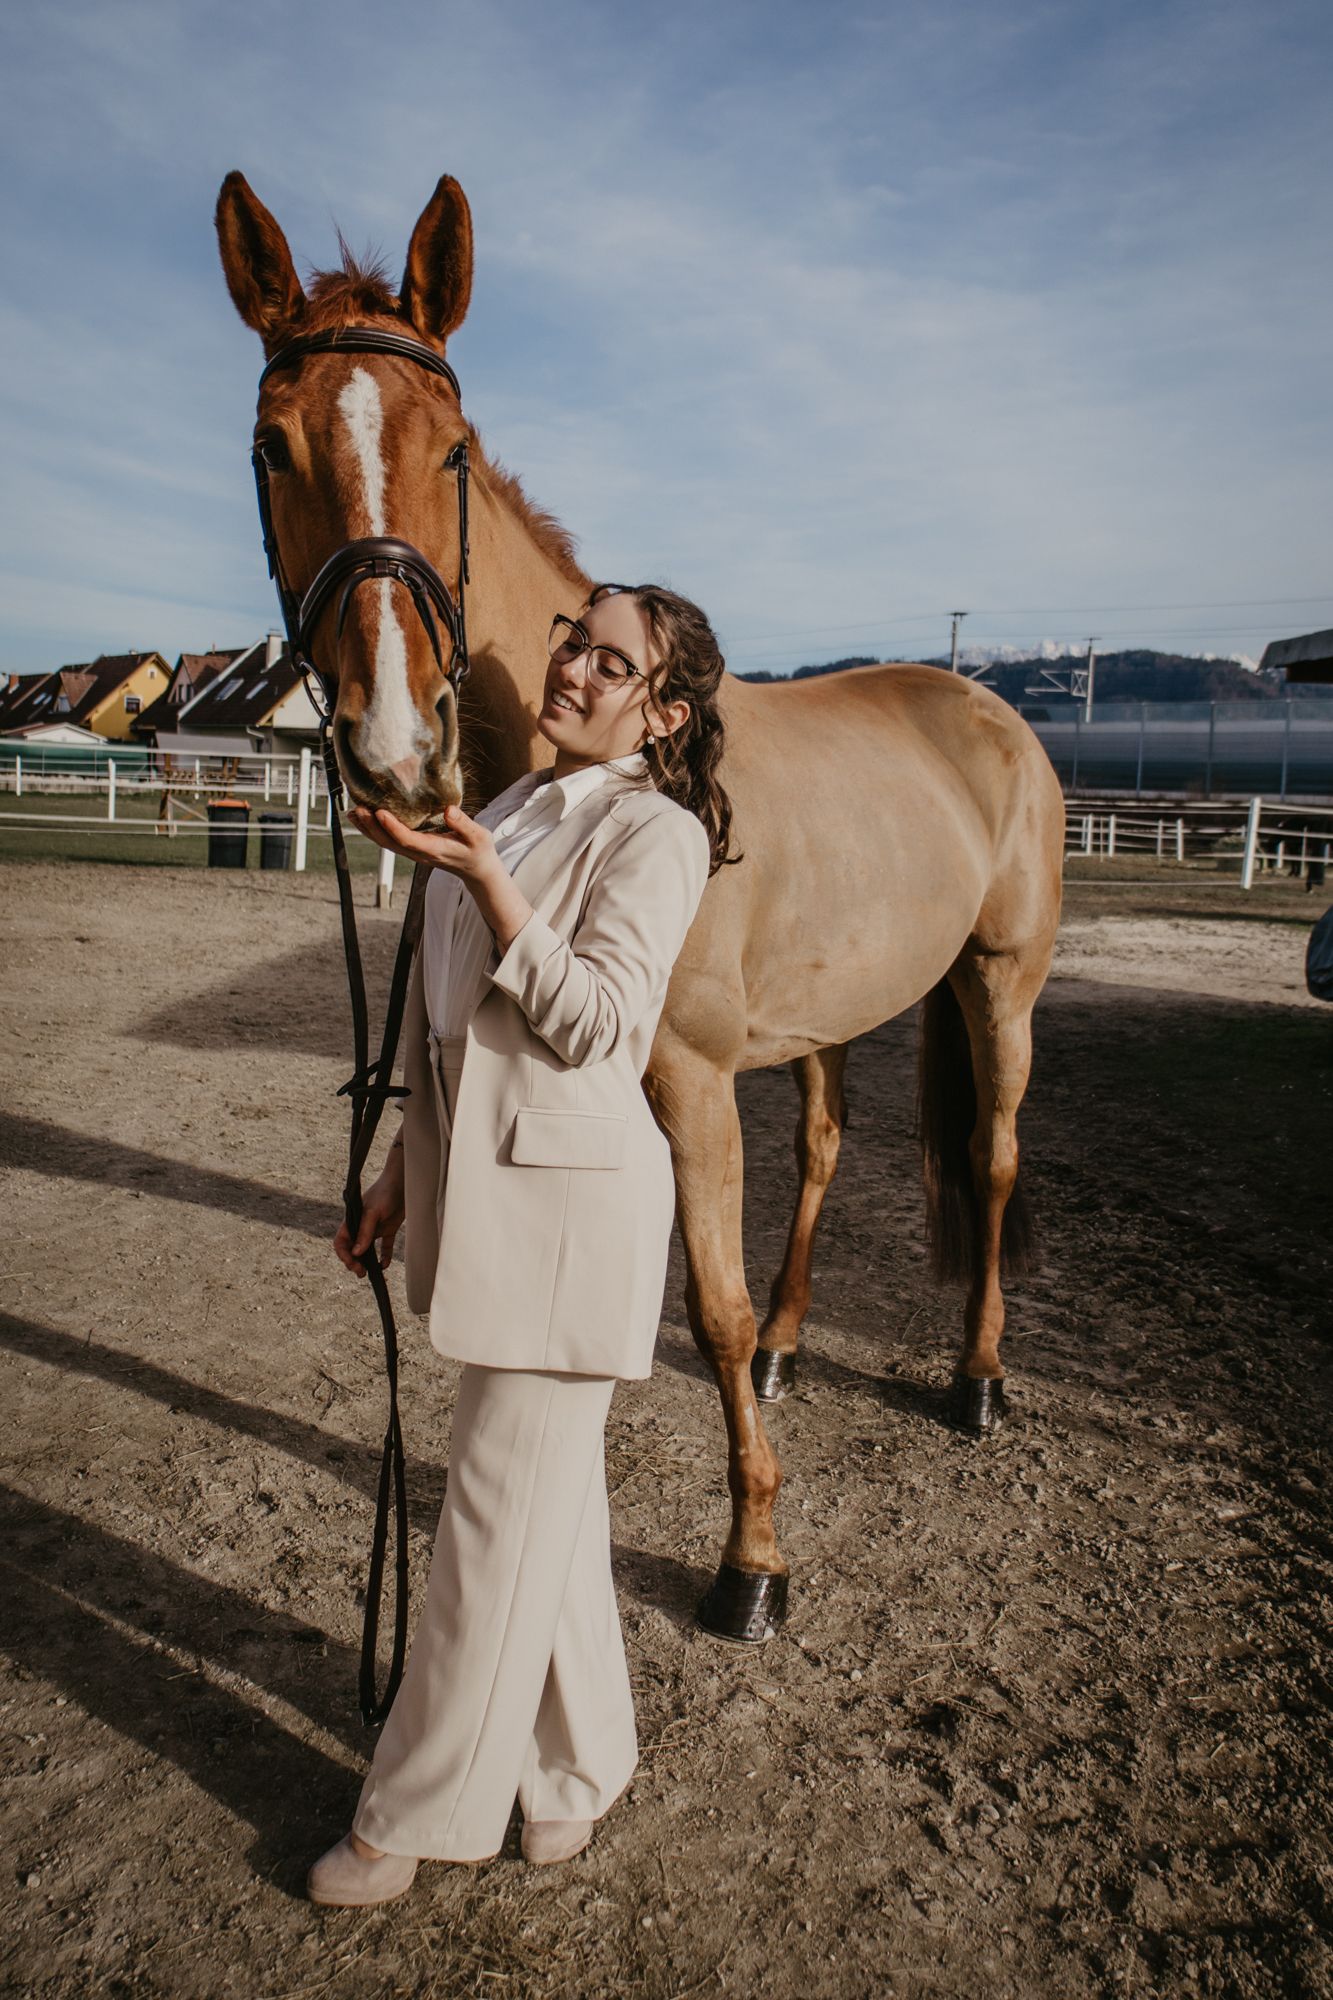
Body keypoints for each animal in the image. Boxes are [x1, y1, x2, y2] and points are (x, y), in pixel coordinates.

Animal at [217, 170, 1065, 1641]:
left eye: (453, 449)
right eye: (274, 447)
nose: (395, 745)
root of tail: (986, 706)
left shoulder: (688, 1077)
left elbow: (703, 1306)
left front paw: (752, 1559)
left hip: (997, 979)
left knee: (995, 1156)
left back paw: (975, 1379)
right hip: (834, 1015)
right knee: (828, 1151)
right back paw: (793, 1345)